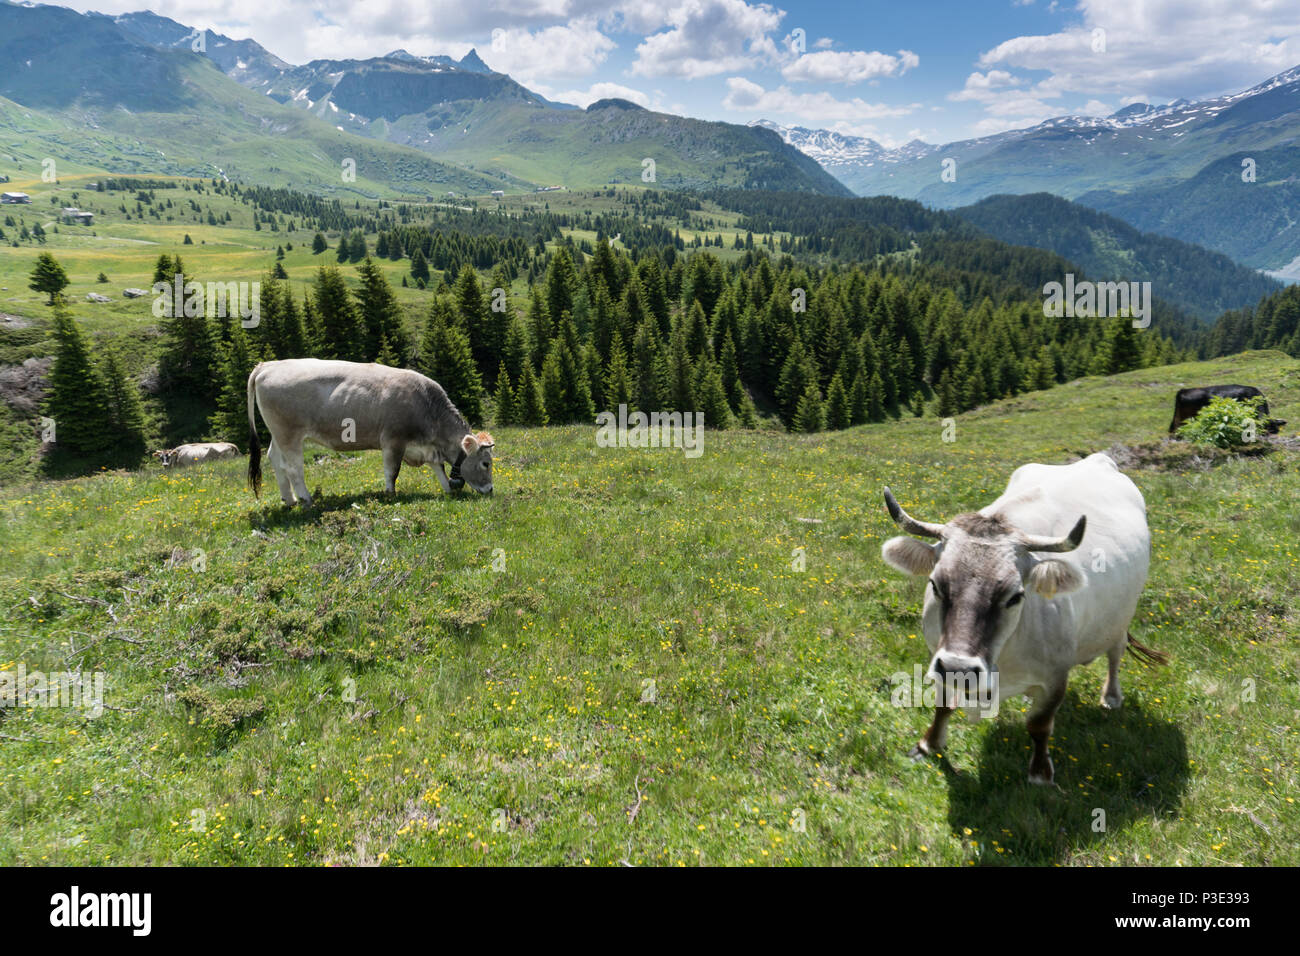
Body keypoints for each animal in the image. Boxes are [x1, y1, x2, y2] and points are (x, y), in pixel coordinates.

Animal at [245, 358, 493, 509]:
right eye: (485, 463)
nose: (490, 490)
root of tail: (268, 365)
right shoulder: (393, 440)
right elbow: (392, 471)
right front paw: (390, 494)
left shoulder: (426, 447)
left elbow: (438, 469)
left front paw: (448, 490)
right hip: (289, 434)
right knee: (294, 468)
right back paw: (306, 500)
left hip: (277, 435)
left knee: (275, 460)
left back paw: (289, 500)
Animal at [878, 455, 1164, 785]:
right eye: (936, 585)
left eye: (1015, 596)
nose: (959, 668)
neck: (1002, 657)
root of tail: (1098, 459)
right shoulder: (937, 656)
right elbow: (942, 704)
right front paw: (928, 744)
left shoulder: (1056, 676)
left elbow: (1040, 725)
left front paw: (1040, 773)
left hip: (1121, 618)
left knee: (1115, 655)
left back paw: (1111, 696)